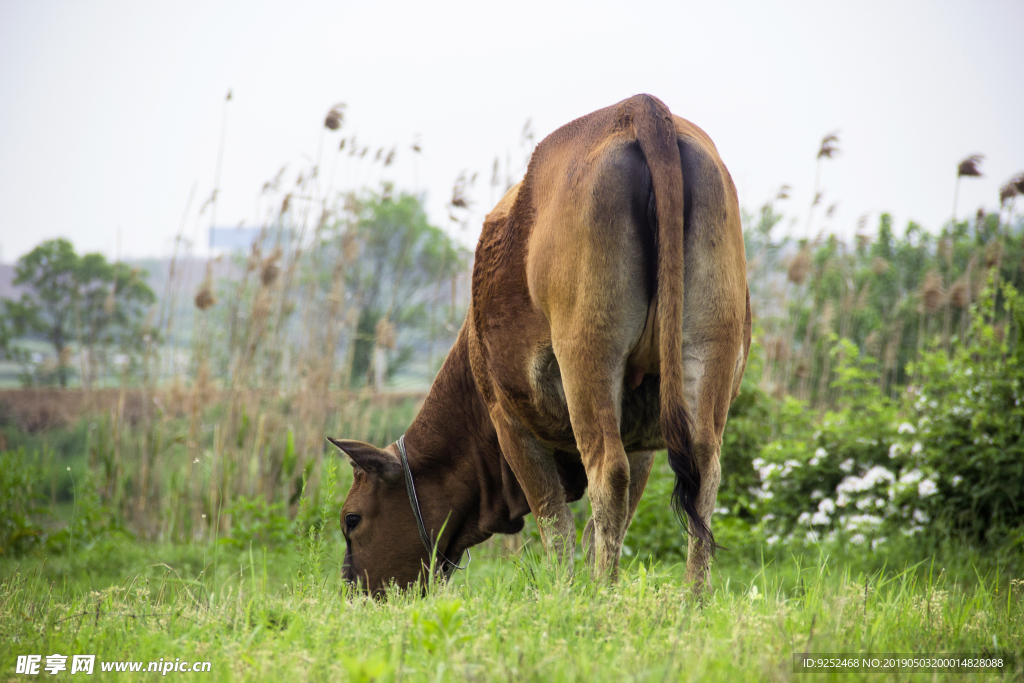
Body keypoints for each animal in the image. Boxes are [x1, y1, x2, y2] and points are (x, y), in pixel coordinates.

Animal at [331, 93, 749, 593]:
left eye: (351, 519)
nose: (353, 590)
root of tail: (640, 108)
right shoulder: (642, 440)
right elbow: (596, 528)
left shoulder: (509, 419)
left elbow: (557, 527)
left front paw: (567, 592)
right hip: (711, 347)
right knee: (704, 473)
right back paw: (693, 598)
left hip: (586, 356)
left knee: (608, 473)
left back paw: (601, 595)